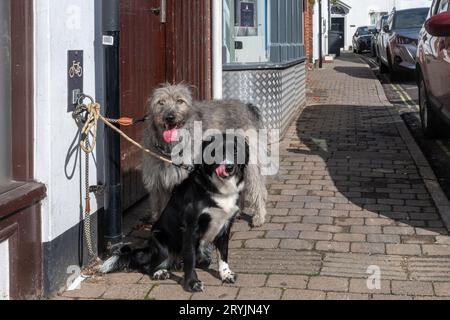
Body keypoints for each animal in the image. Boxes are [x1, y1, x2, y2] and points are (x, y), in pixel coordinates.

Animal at [99, 134, 248, 292]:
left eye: (236, 151)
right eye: (215, 152)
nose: (229, 167)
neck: (216, 188)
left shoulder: (225, 226)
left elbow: (223, 254)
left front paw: (226, 274)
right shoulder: (190, 228)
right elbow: (190, 258)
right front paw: (192, 283)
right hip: (161, 243)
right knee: (146, 265)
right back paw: (159, 272)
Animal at [142, 84, 268, 226]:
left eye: (180, 101)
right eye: (160, 102)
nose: (170, 117)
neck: (171, 146)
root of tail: (246, 106)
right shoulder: (160, 183)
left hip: (250, 163)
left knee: (258, 188)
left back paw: (259, 216)